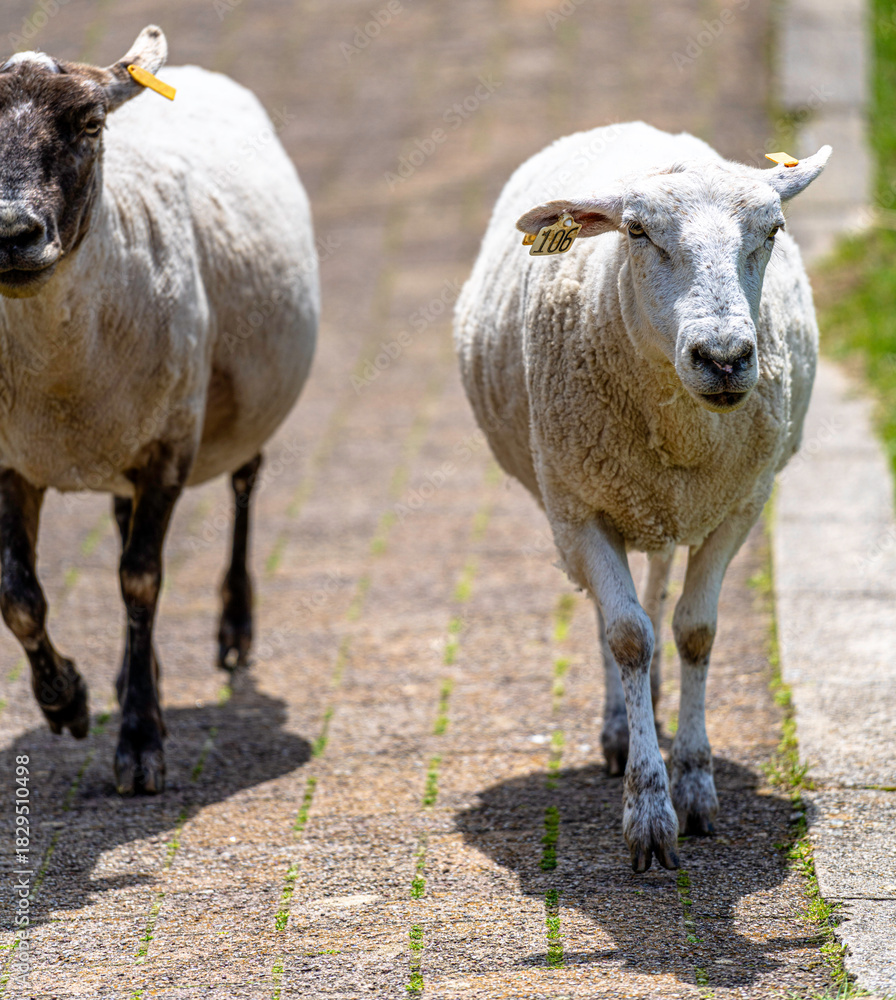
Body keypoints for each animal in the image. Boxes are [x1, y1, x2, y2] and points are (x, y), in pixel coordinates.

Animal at [0, 27, 319, 794]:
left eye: (90, 123)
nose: (12, 232)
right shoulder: (11, 457)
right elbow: (19, 596)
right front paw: (67, 701)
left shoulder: (169, 446)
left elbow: (140, 581)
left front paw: (140, 742)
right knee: (119, 524)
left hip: (230, 409)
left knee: (243, 485)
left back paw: (233, 629)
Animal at [454, 122, 829, 871]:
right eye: (636, 232)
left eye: (772, 229)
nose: (724, 357)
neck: (684, 425)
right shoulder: (576, 510)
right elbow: (627, 636)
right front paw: (649, 813)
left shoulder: (740, 507)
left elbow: (695, 632)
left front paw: (696, 786)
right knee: (617, 612)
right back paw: (620, 730)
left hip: (661, 500)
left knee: (657, 579)